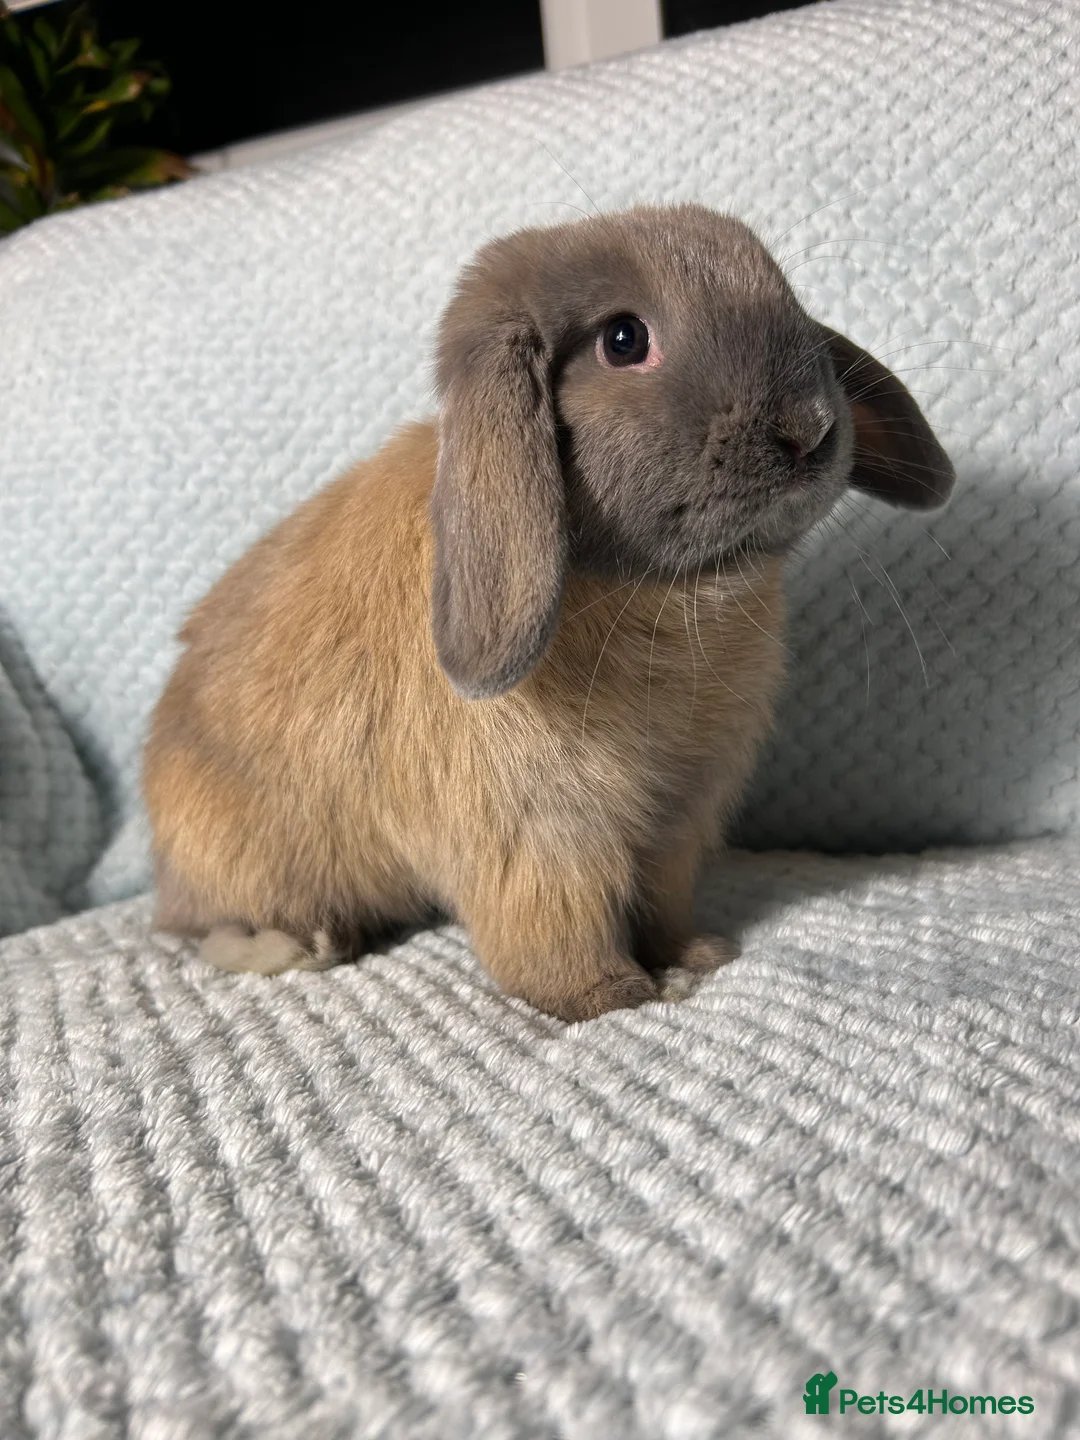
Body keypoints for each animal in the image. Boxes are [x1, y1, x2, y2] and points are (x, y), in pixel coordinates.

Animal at [143, 204, 954, 1022]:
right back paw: (306, 944)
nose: (810, 428)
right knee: (206, 932)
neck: (664, 593)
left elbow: (662, 906)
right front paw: (611, 996)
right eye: (623, 340)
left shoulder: (674, 826)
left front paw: (695, 959)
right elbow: (554, 932)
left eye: (789, 302)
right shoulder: (538, 837)